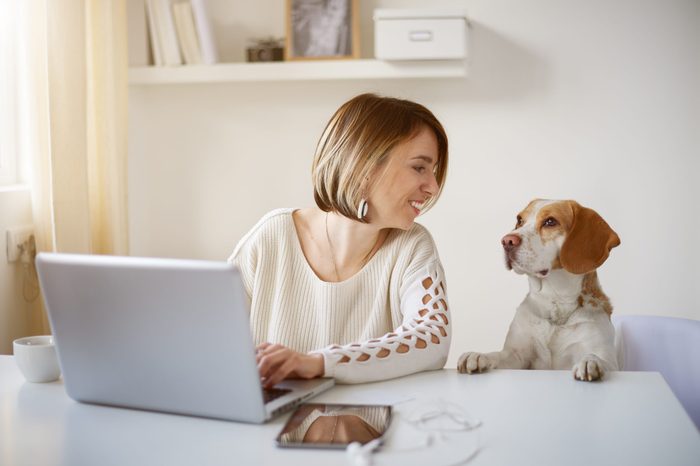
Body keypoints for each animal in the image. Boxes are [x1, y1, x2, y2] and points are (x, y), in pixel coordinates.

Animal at [460, 198, 616, 380]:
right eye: (519, 220)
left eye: (550, 221)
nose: (506, 241)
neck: (555, 302)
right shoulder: (517, 356)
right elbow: (498, 355)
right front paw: (479, 356)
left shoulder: (607, 357)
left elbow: (598, 358)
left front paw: (590, 361)